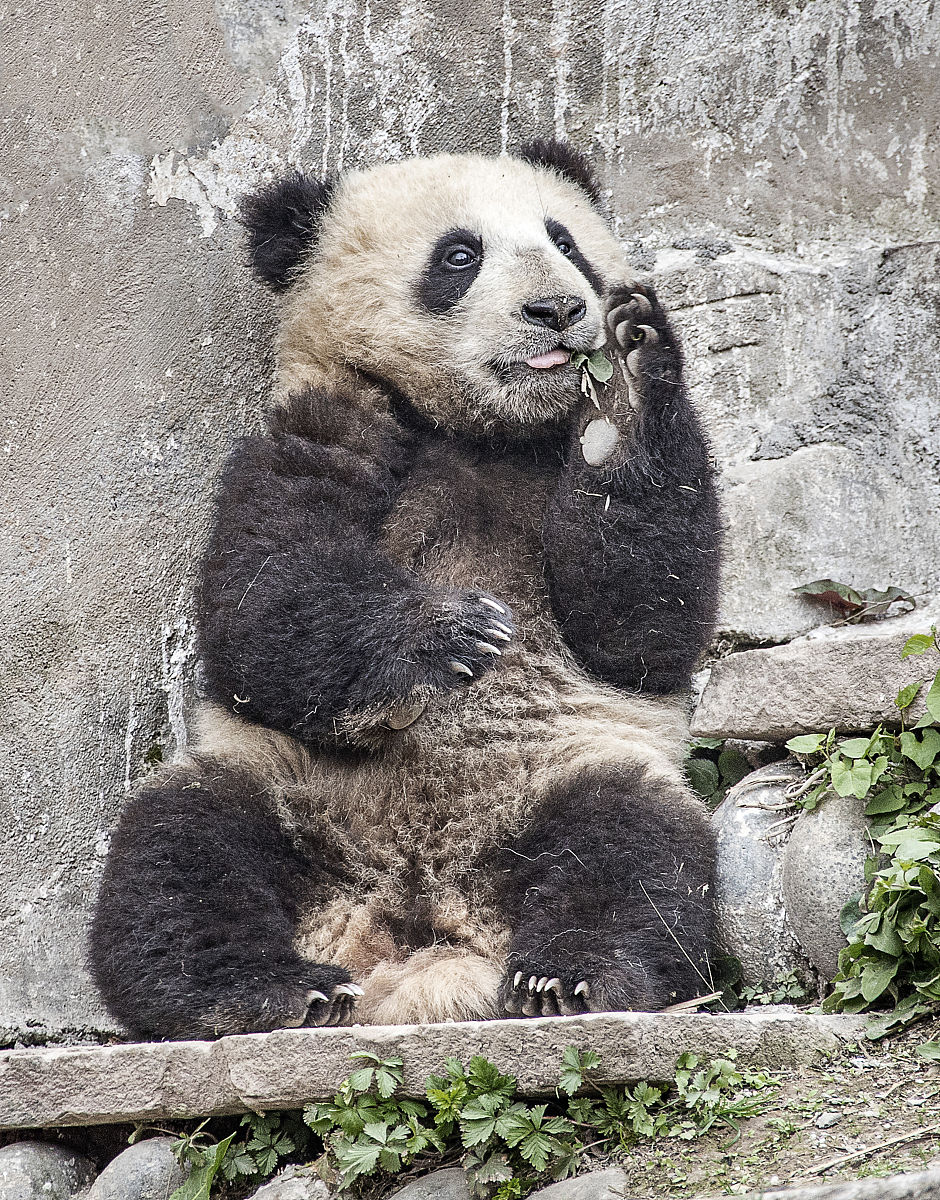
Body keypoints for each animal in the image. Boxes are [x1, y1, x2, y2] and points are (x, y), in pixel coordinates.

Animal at [89, 140, 723, 1041]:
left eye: (565, 240)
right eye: (459, 256)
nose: (559, 309)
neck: (481, 431)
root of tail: (407, 936)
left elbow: (641, 626)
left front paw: (625, 385)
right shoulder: (320, 433)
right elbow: (267, 605)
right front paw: (449, 635)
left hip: (565, 769)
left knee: (633, 851)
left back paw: (567, 975)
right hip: (282, 782)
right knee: (182, 853)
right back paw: (264, 989)